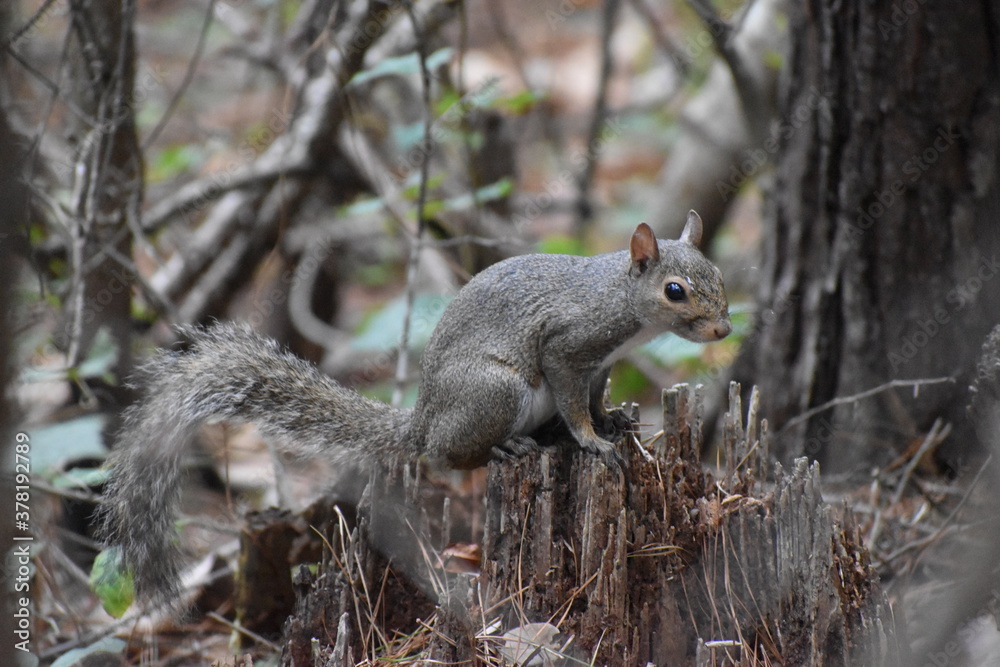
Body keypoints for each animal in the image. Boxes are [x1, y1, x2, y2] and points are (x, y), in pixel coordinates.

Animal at [97, 210, 731, 605]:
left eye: (719, 277)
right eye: (675, 290)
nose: (725, 329)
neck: (621, 299)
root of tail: (424, 419)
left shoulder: (598, 366)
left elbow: (594, 400)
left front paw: (613, 421)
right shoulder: (567, 347)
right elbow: (573, 404)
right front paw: (593, 441)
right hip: (495, 392)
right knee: (448, 455)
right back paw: (507, 445)